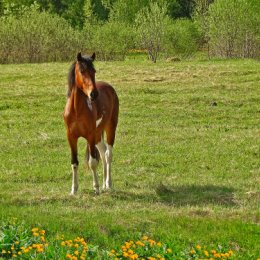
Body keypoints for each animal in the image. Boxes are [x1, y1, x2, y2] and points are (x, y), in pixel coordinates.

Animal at [63, 52, 119, 195]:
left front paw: (96, 188)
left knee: (108, 154)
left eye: (94, 71)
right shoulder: (71, 137)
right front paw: (74, 190)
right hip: (98, 134)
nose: (94, 94)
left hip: (110, 128)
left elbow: (92, 162)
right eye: (82, 71)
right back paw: (104, 184)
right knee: (103, 154)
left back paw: (108, 184)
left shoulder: (90, 136)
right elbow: (74, 162)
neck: (77, 110)